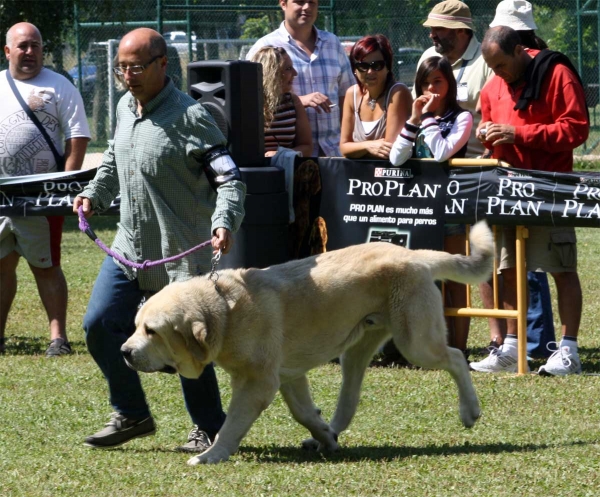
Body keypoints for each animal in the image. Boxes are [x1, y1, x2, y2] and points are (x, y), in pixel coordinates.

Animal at [120, 220, 492, 462]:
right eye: (136, 326)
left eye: (152, 331)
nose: (124, 352)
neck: (223, 312)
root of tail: (414, 255)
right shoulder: (289, 376)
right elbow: (302, 412)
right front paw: (323, 434)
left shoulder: (258, 383)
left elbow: (232, 424)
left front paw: (213, 454)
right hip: (357, 350)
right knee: (349, 400)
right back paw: (332, 432)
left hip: (416, 342)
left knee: (455, 357)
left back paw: (470, 411)